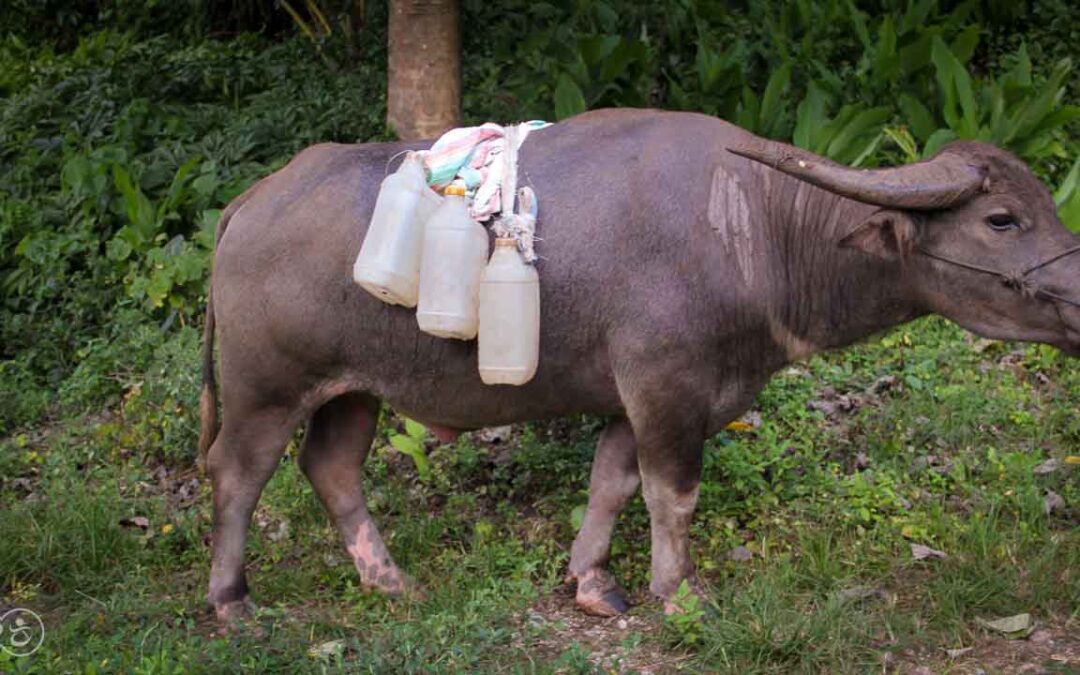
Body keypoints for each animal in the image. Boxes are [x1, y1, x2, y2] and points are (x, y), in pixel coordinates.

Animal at [200, 108, 1080, 617]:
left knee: (331, 467)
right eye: (1002, 218)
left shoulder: (636, 396)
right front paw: (678, 591)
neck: (755, 228)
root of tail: (248, 204)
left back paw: (389, 579)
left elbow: (612, 482)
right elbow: (671, 492)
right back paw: (232, 598)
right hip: (264, 389)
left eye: (1044, 203)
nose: (1075, 291)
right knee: (239, 475)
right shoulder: (668, 387)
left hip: (353, 390)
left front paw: (592, 581)